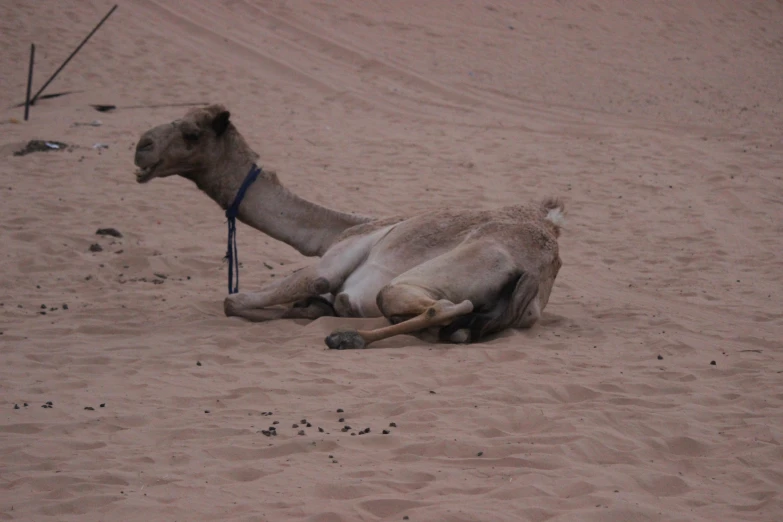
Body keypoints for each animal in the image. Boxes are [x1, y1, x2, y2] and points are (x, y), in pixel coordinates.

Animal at [135, 104, 564, 350]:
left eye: (192, 133)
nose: (142, 144)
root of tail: (536, 267)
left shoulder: (333, 259)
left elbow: (236, 300)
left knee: (435, 305)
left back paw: (346, 338)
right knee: (455, 327)